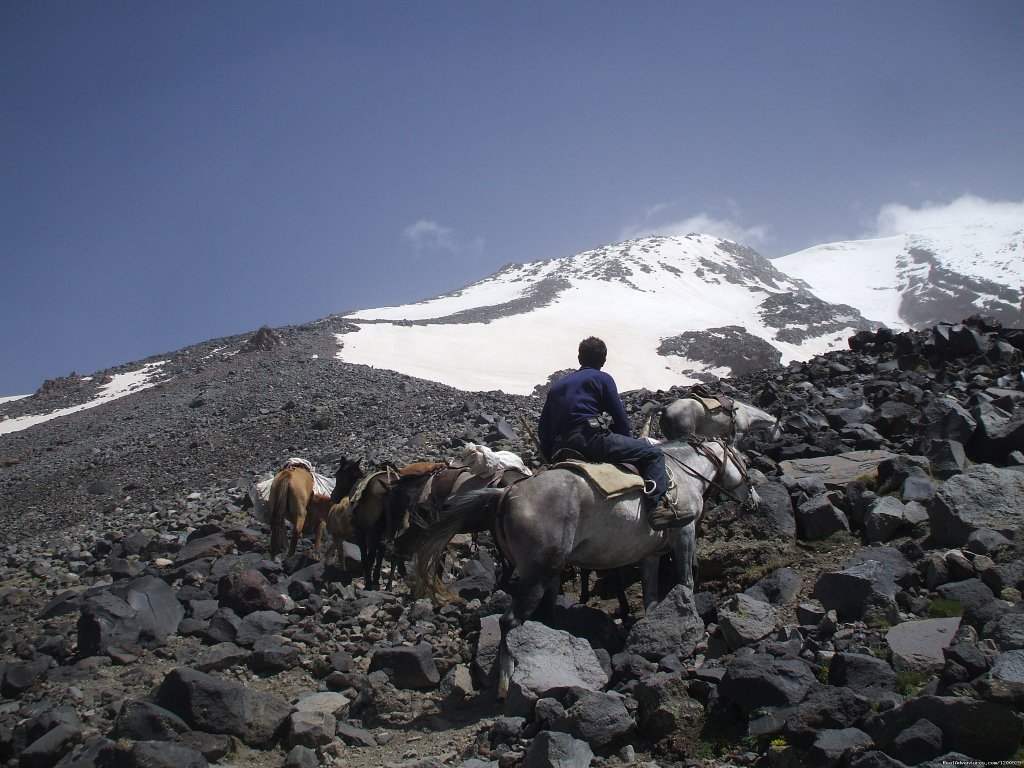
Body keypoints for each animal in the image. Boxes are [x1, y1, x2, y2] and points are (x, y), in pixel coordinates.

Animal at [411, 438, 757, 696]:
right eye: (744, 462)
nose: (754, 501)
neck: (684, 475)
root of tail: (508, 491)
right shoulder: (684, 534)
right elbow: (685, 580)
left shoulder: (650, 553)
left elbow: (650, 594)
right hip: (538, 572)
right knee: (511, 621)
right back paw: (509, 680)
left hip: (548, 574)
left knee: (543, 615)